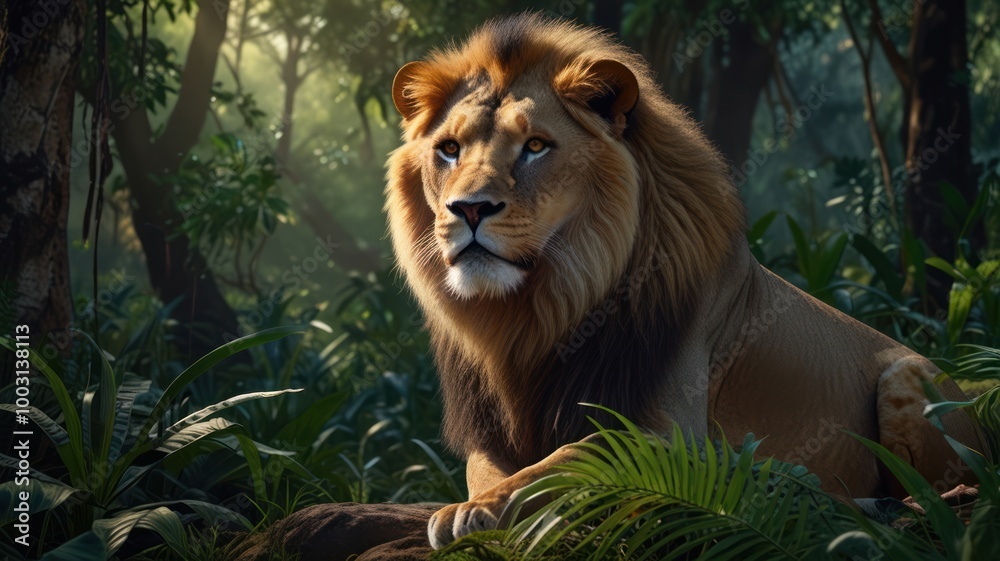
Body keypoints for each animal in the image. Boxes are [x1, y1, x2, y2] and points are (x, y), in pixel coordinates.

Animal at [385, 13, 982, 549]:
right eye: (449, 149)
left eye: (535, 146)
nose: (469, 209)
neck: (540, 309)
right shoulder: (492, 436)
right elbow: (497, 472)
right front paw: (471, 503)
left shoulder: (673, 436)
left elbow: (564, 460)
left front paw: (475, 510)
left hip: (910, 374)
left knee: (943, 493)